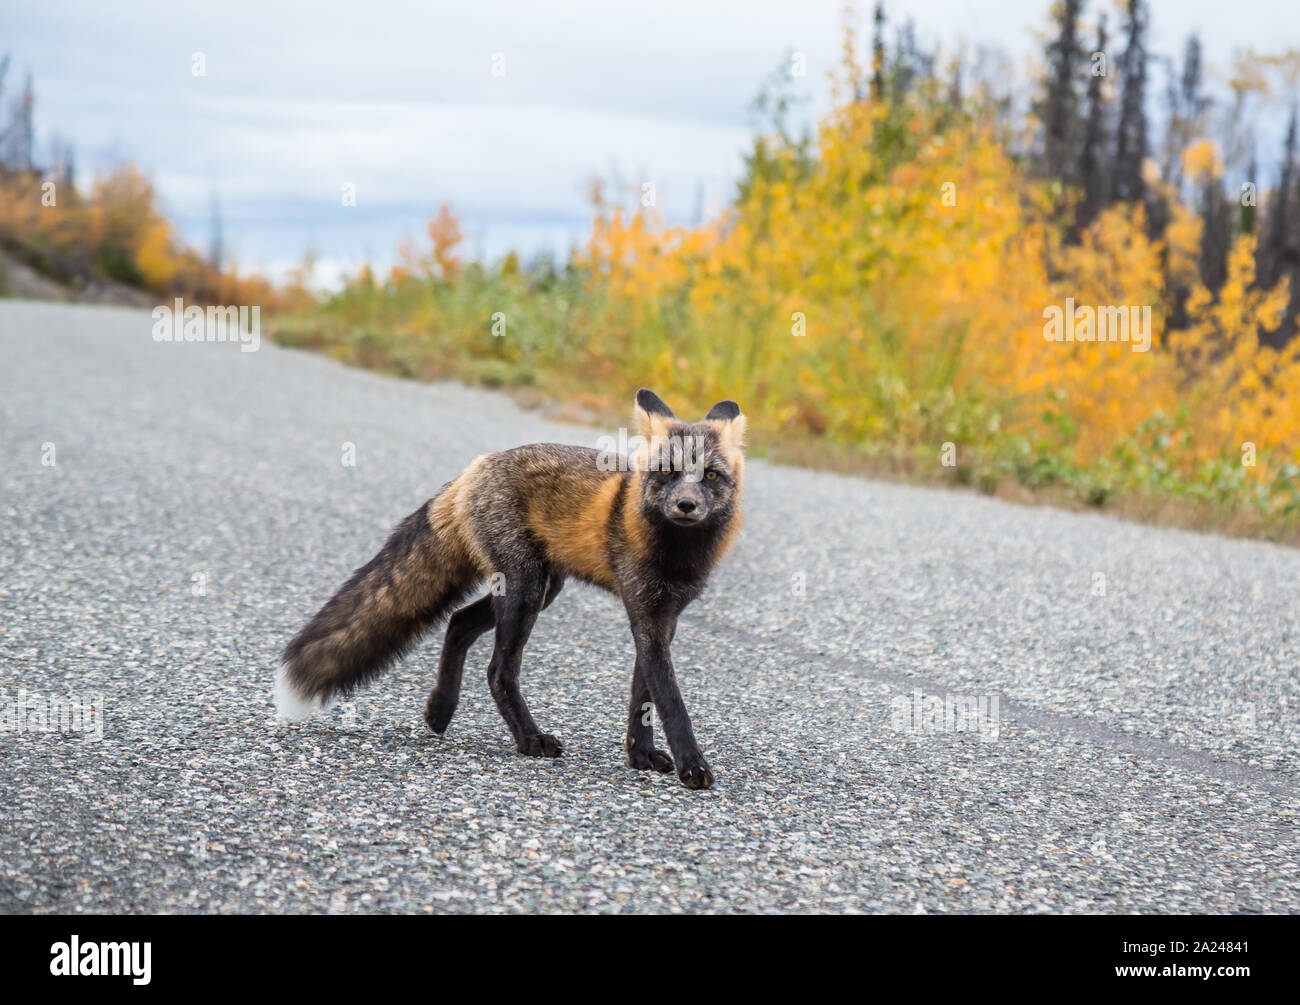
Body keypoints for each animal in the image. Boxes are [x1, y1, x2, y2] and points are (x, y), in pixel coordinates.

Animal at [274, 387, 743, 790]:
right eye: (668, 473)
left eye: (710, 475)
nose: (686, 505)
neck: (676, 554)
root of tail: (475, 468)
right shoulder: (645, 616)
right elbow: (671, 702)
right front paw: (692, 766)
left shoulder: (663, 620)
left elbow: (644, 698)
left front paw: (641, 757)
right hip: (526, 589)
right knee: (497, 669)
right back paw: (529, 740)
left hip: (539, 589)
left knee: (459, 622)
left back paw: (440, 709)